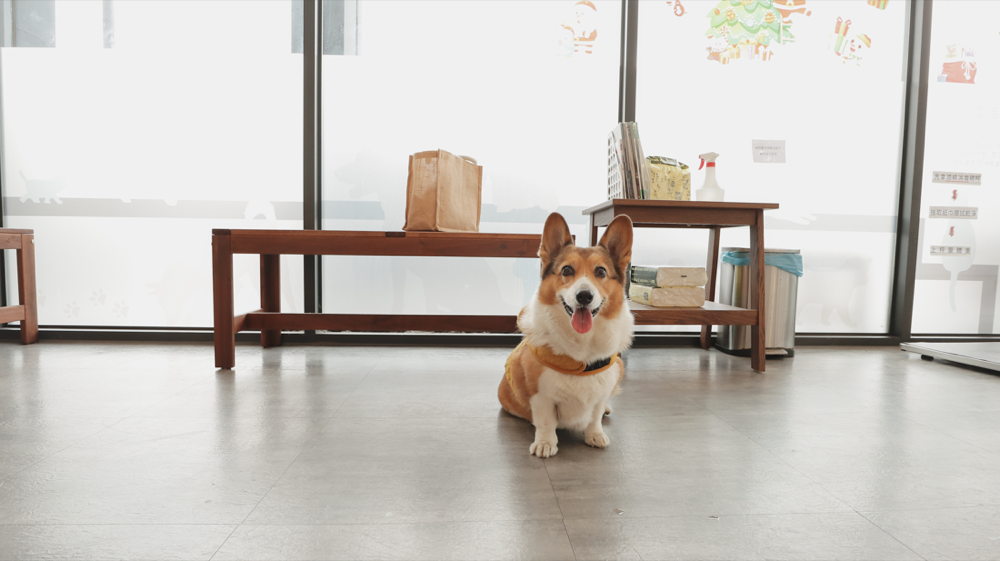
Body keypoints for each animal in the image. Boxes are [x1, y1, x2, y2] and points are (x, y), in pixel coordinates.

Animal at [498, 211, 632, 456]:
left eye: (601, 271)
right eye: (567, 270)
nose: (584, 296)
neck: (581, 344)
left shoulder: (602, 390)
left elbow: (595, 416)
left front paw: (595, 435)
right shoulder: (540, 395)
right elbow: (546, 421)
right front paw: (545, 444)